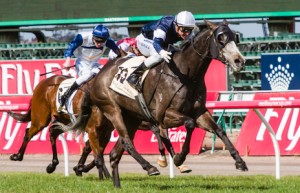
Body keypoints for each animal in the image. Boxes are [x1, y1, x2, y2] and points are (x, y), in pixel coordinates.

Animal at [59, 20, 247, 188]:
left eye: (234, 37)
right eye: (220, 38)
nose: (239, 61)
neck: (186, 74)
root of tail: (97, 75)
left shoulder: (200, 112)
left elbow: (219, 130)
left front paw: (239, 161)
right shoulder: (163, 115)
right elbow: (188, 124)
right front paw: (179, 158)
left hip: (131, 118)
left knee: (114, 152)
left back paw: (116, 183)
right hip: (112, 110)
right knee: (125, 142)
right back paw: (149, 167)